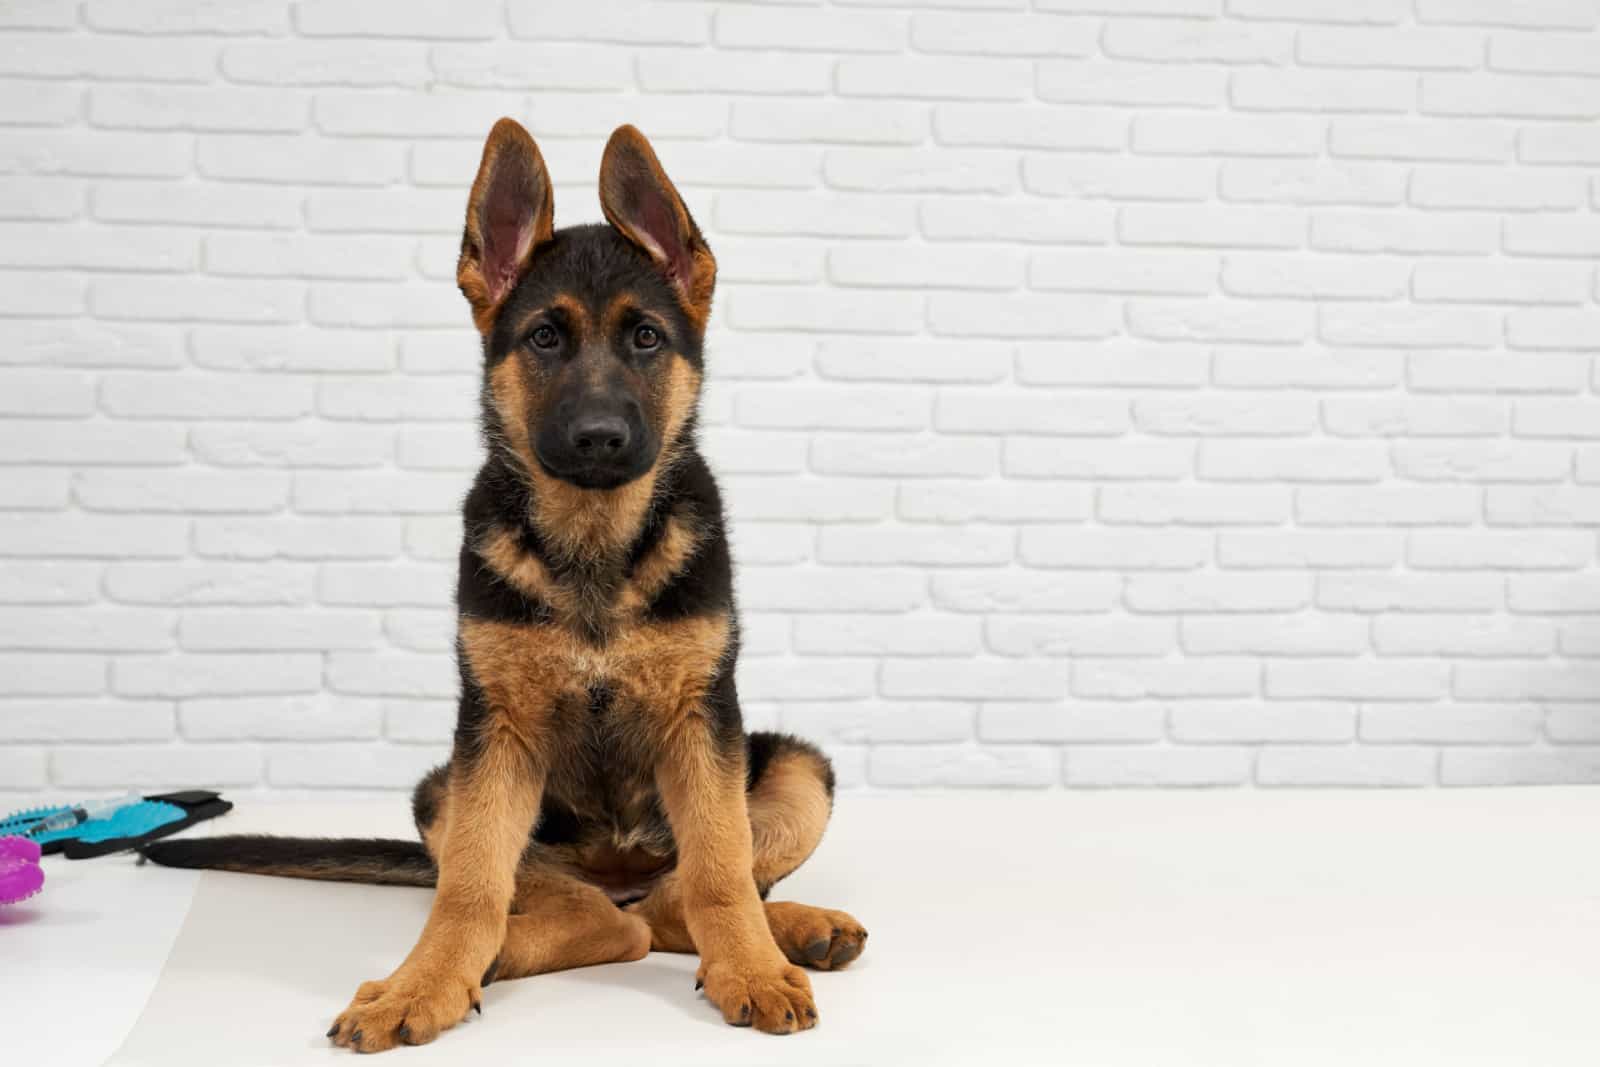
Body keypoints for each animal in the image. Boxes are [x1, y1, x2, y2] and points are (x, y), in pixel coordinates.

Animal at [140, 119, 864, 1049]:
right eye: (545, 339)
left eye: (646, 339)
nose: (598, 438)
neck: (593, 541)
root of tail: (618, 868)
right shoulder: (493, 737)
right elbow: (469, 889)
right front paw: (423, 983)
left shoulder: (703, 720)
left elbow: (721, 870)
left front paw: (749, 964)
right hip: (448, 792)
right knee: (602, 916)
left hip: (796, 770)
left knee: (675, 897)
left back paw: (793, 931)